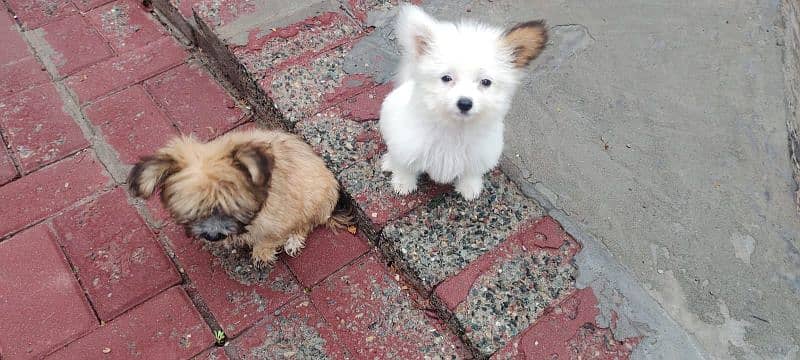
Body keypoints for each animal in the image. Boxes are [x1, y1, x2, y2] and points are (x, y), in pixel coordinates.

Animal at [127, 129, 346, 264]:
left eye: (233, 208)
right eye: (193, 211)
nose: (213, 236)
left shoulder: (281, 218)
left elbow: (270, 238)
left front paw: (262, 253)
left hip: (316, 199)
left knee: (308, 222)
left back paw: (293, 240)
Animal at [378, 4, 548, 200]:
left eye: (486, 82)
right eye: (446, 78)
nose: (465, 103)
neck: (456, 129)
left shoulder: (480, 154)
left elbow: (471, 172)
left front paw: (469, 186)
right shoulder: (407, 145)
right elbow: (405, 167)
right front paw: (403, 183)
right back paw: (389, 162)